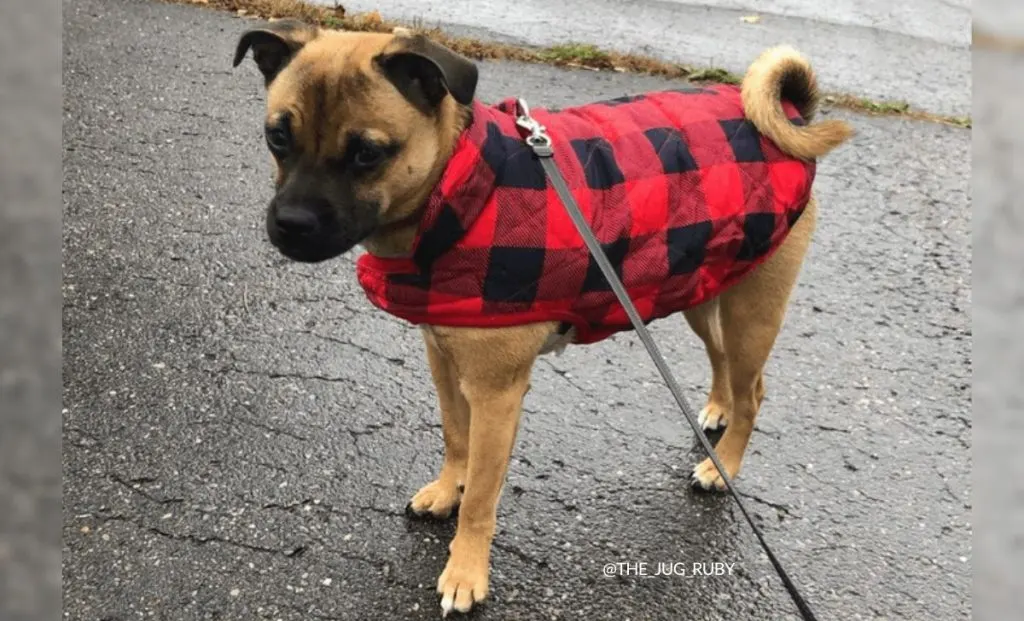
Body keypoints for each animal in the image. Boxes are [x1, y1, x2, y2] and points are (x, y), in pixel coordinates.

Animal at [234, 20, 856, 618]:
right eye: (277, 136)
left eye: (367, 153)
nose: (290, 224)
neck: (459, 187)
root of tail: (789, 118)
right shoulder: (445, 362)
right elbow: (455, 438)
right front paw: (447, 488)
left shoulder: (496, 394)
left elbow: (482, 497)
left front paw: (466, 570)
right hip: (700, 292)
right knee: (723, 362)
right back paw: (716, 414)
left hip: (752, 311)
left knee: (754, 392)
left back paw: (721, 464)